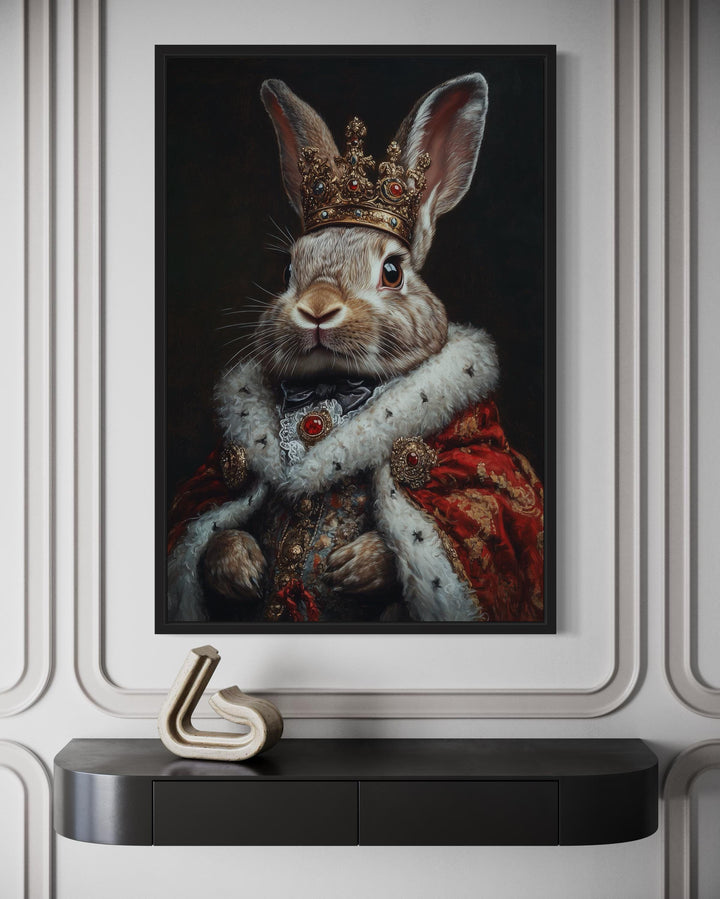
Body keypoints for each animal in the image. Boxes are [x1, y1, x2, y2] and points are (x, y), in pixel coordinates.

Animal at [167, 73, 545, 625]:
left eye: (392, 271)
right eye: (287, 270)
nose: (317, 308)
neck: (329, 390)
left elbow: (480, 507)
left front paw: (357, 566)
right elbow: (206, 528)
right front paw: (241, 568)